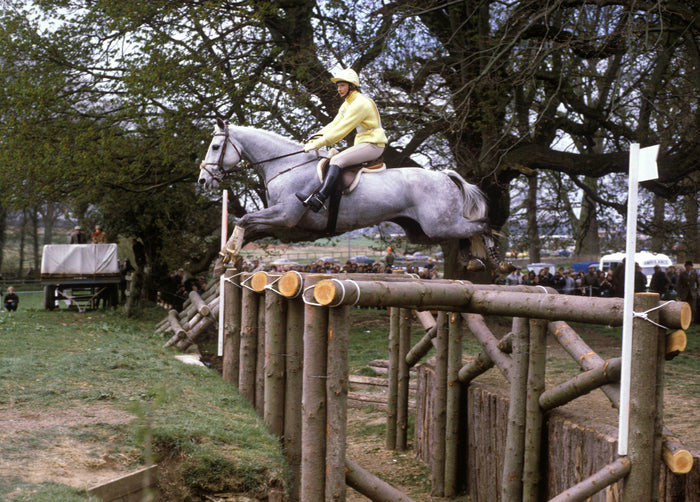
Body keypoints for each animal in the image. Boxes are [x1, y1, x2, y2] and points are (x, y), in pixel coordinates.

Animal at [197, 119, 512, 273]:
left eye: (215, 147)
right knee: (470, 231)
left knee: (482, 225)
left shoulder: (286, 216)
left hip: (439, 225)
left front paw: (226, 256)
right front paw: (227, 257)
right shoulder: (282, 218)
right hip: (423, 231)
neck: (287, 164)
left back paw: (495, 261)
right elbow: (245, 222)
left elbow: (244, 220)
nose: (202, 180)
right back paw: (474, 260)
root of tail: (445, 175)